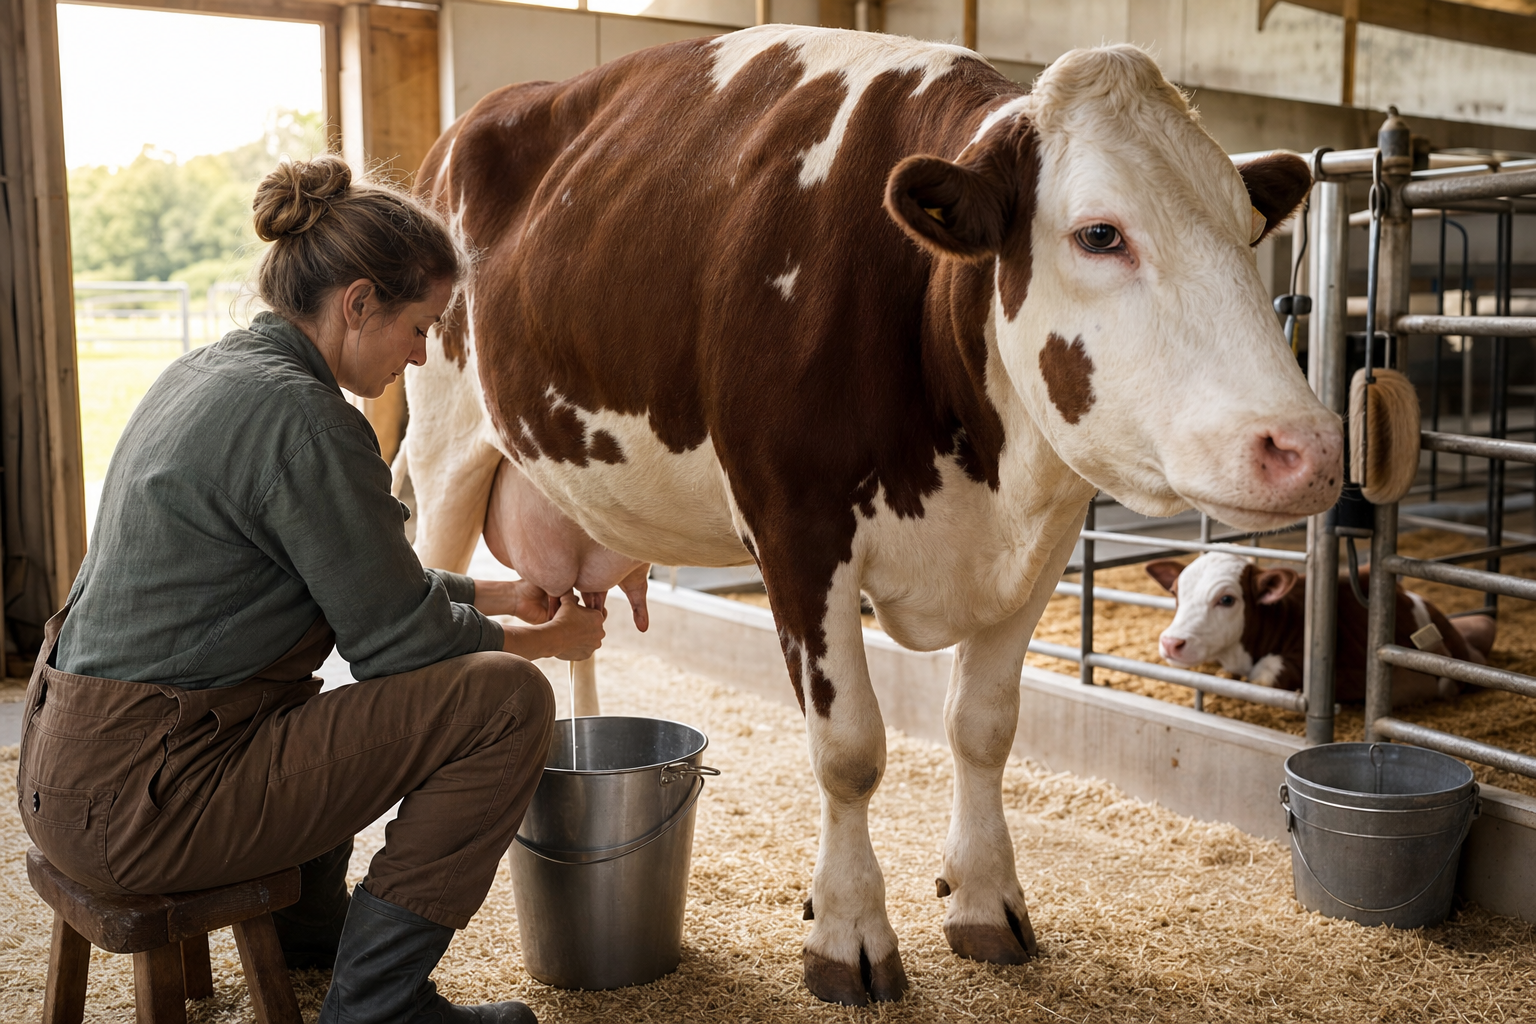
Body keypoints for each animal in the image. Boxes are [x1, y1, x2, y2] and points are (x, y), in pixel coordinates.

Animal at [397, 27, 1342, 1005]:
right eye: (1098, 233)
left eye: (1246, 229)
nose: (1308, 447)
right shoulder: (797, 531)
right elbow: (849, 749)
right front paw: (847, 934)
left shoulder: (1046, 540)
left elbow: (983, 726)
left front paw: (985, 899)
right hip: (442, 446)